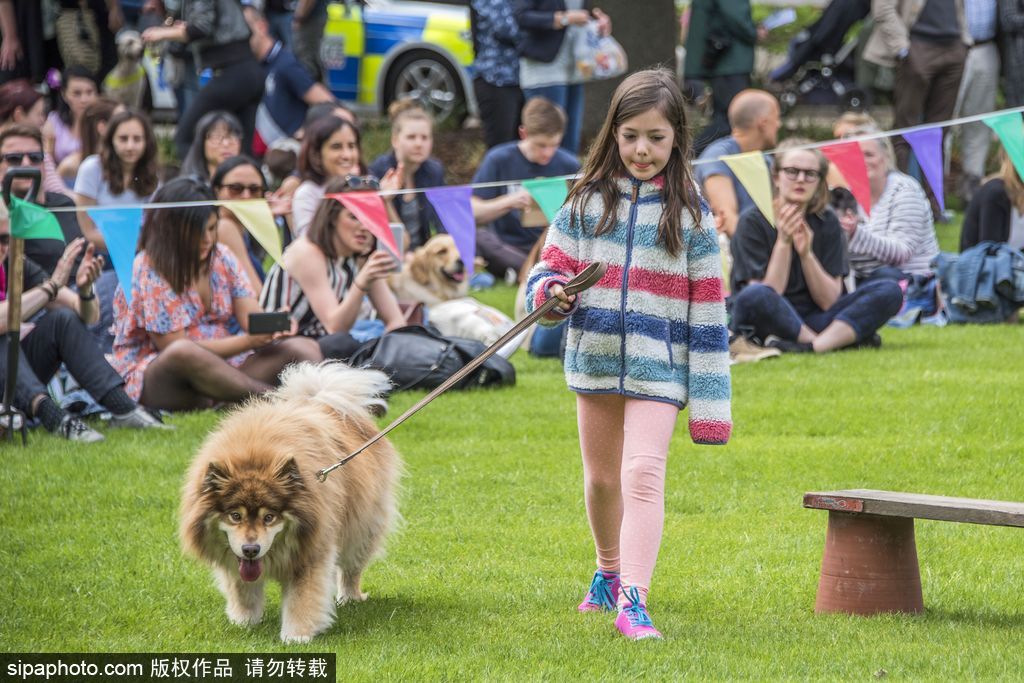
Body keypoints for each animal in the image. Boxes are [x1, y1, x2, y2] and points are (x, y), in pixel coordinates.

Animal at [180, 366, 399, 643]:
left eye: (269, 517)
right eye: (235, 516)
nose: (250, 549)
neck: (256, 455)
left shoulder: (311, 552)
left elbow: (301, 599)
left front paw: (297, 636)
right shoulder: (235, 560)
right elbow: (243, 592)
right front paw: (245, 622)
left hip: (361, 529)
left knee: (351, 569)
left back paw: (349, 597)